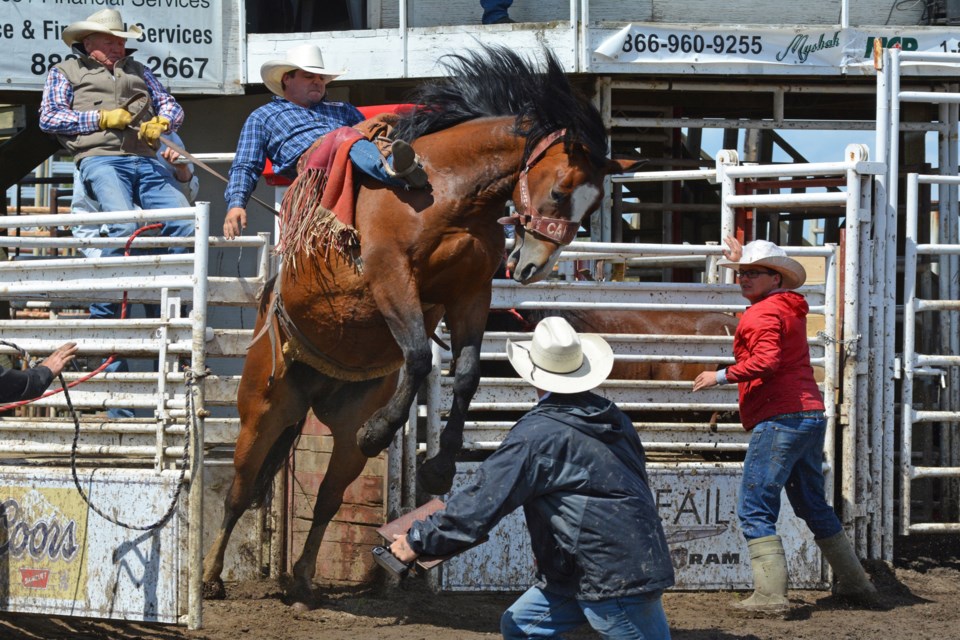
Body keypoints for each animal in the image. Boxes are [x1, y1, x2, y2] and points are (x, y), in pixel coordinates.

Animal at [200, 46, 640, 604]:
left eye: (596, 202)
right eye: (561, 191)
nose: (534, 266)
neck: (449, 191)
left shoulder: (470, 293)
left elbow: (467, 373)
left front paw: (438, 465)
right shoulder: (390, 275)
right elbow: (417, 354)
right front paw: (385, 431)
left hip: (339, 427)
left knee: (327, 499)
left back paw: (301, 578)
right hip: (263, 407)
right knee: (239, 492)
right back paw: (210, 576)